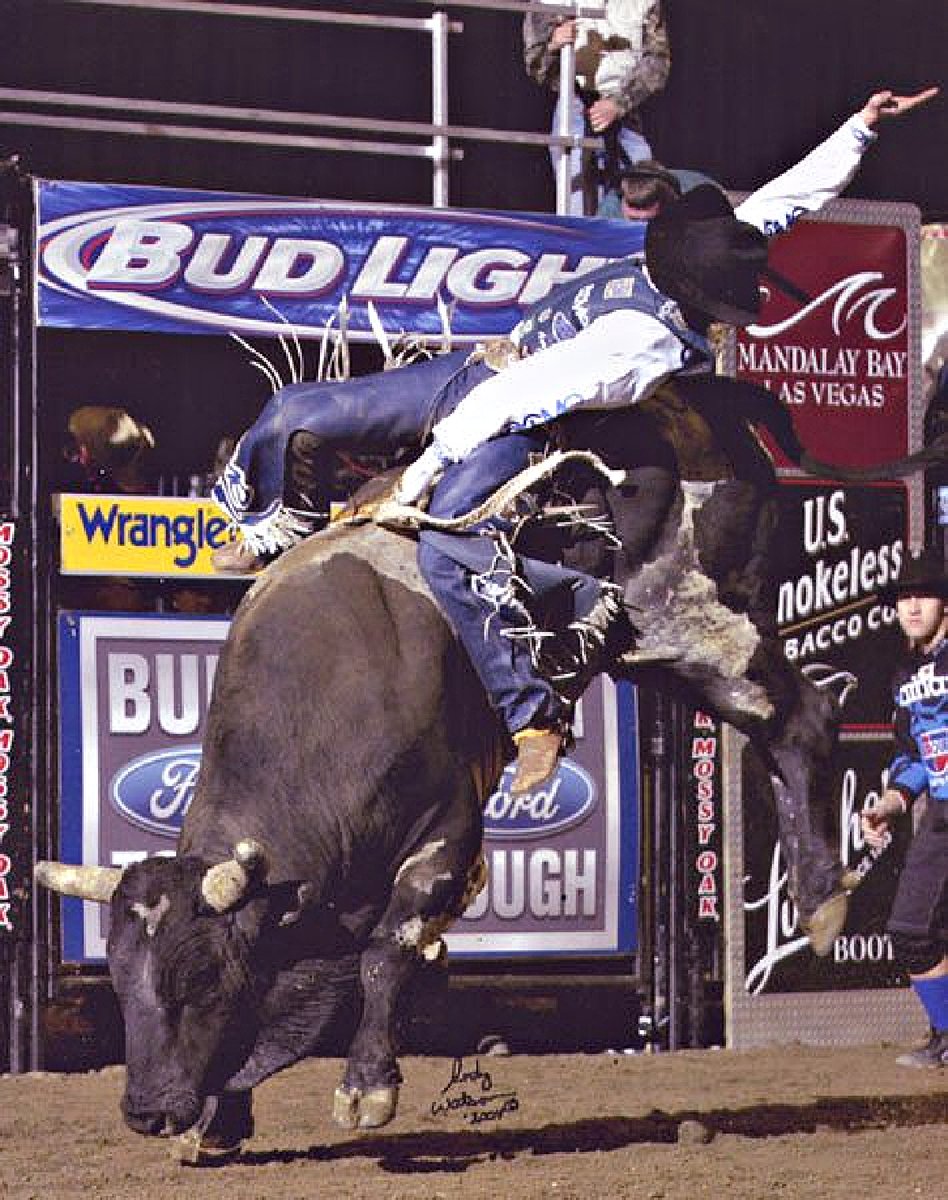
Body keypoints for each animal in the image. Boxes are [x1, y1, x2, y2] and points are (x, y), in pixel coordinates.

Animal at [35, 375, 942, 1163]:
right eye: (120, 979)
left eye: (199, 978)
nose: (147, 1111)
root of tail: (696, 395)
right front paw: (219, 1122)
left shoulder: (447, 834)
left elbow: (388, 950)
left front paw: (365, 1087)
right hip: (654, 647)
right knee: (781, 728)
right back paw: (821, 897)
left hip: (695, 615)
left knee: (803, 718)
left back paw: (821, 901)